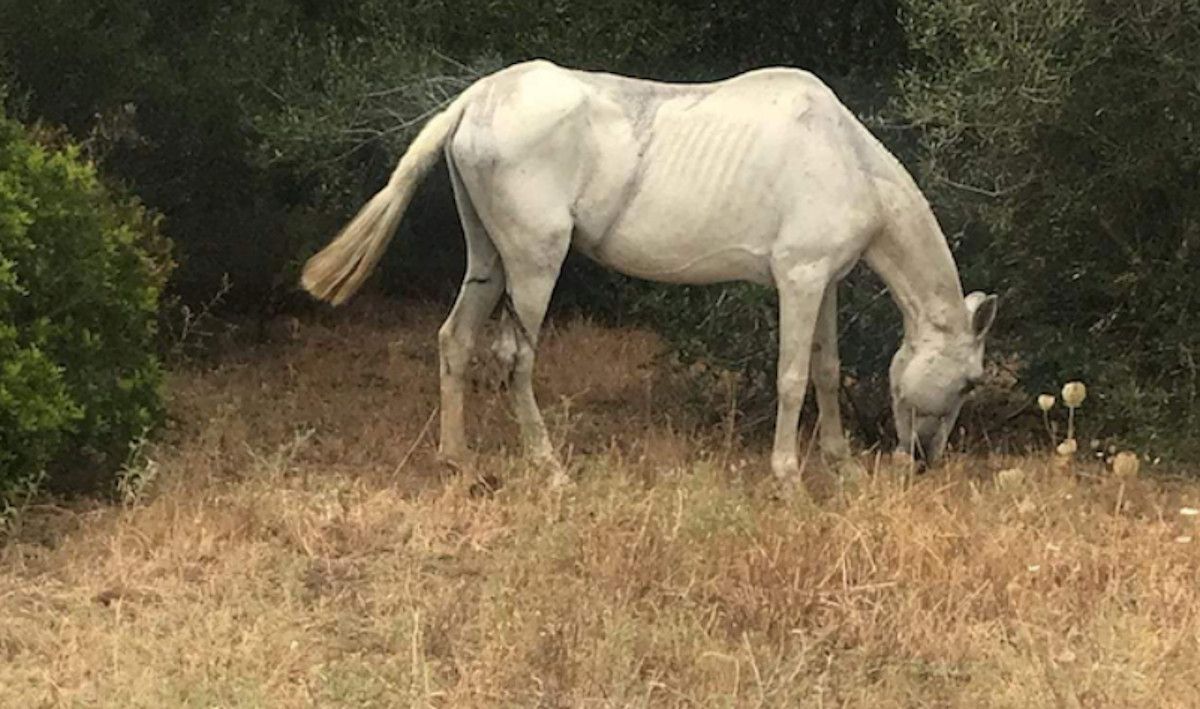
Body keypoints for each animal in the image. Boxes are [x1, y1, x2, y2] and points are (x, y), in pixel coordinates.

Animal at [304, 59, 998, 489]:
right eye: (968, 383)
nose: (924, 462)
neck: (846, 157)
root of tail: (478, 98)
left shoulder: (822, 281)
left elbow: (827, 372)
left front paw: (842, 468)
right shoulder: (798, 279)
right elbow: (793, 378)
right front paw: (789, 477)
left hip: (489, 260)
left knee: (455, 339)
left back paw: (458, 462)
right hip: (534, 261)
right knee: (513, 356)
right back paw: (550, 468)